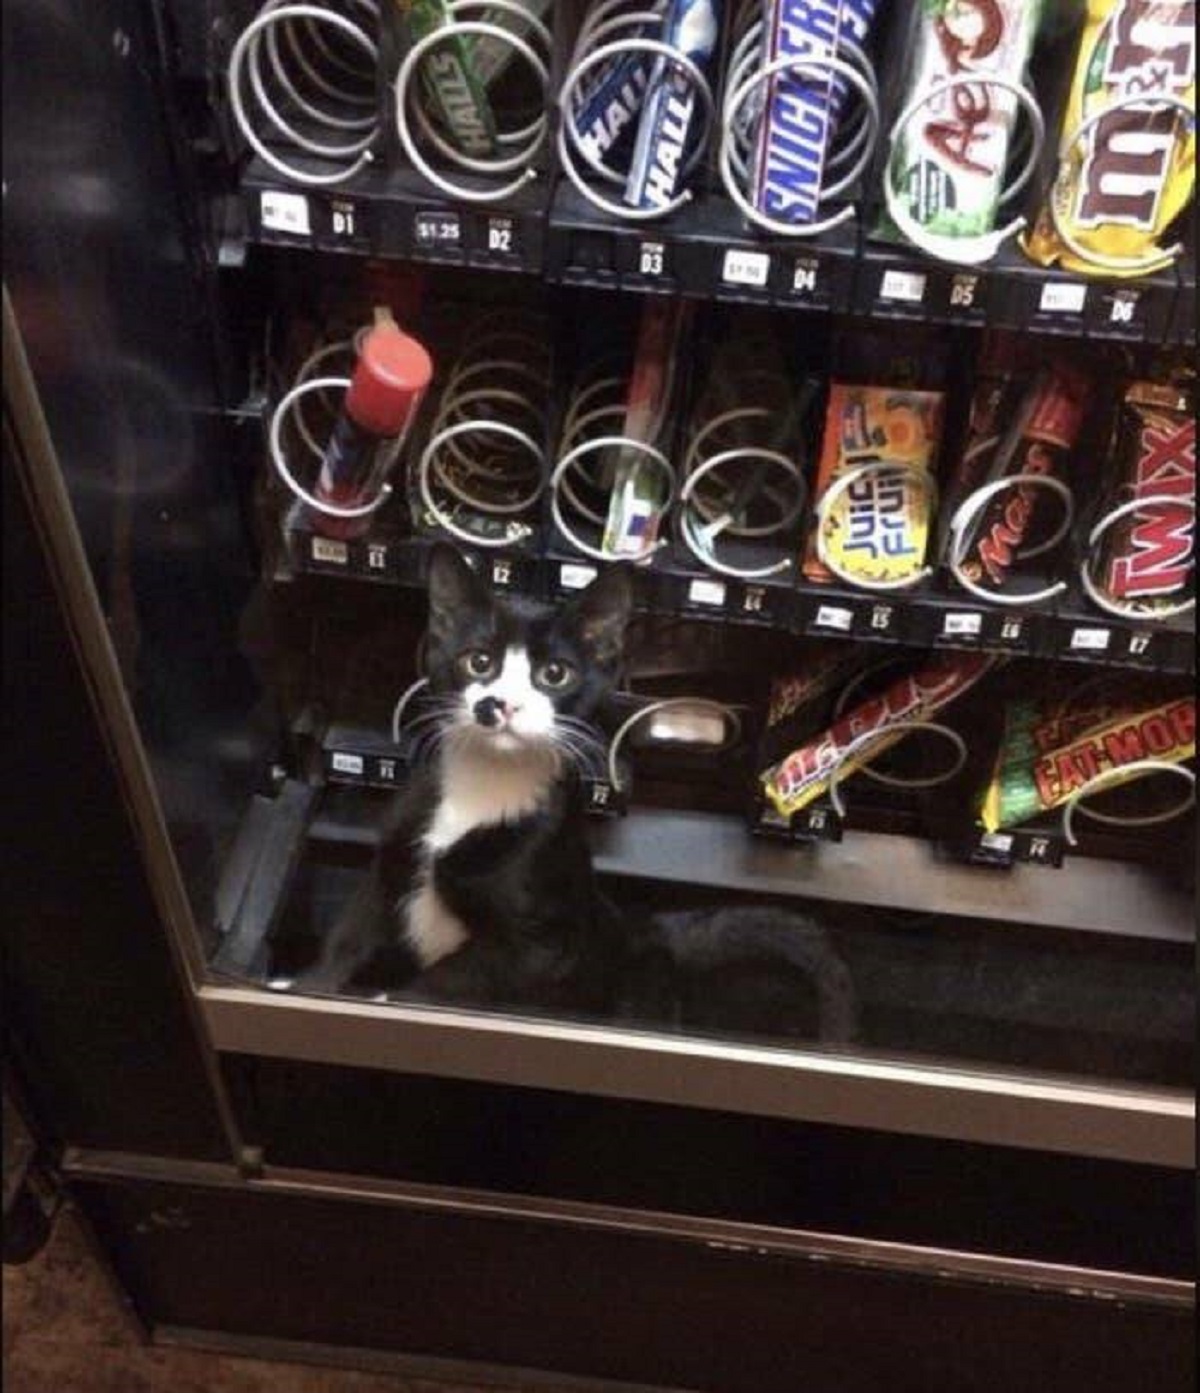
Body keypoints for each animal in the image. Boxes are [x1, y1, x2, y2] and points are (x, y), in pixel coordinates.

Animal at [299, 543, 864, 1047]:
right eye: (478, 662)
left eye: (554, 673)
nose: (498, 704)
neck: (485, 783)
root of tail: (643, 931)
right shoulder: (385, 874)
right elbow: (348, 940)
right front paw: (312, 985)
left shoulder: (538, 945)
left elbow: (451, 981)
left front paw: (390, 999)